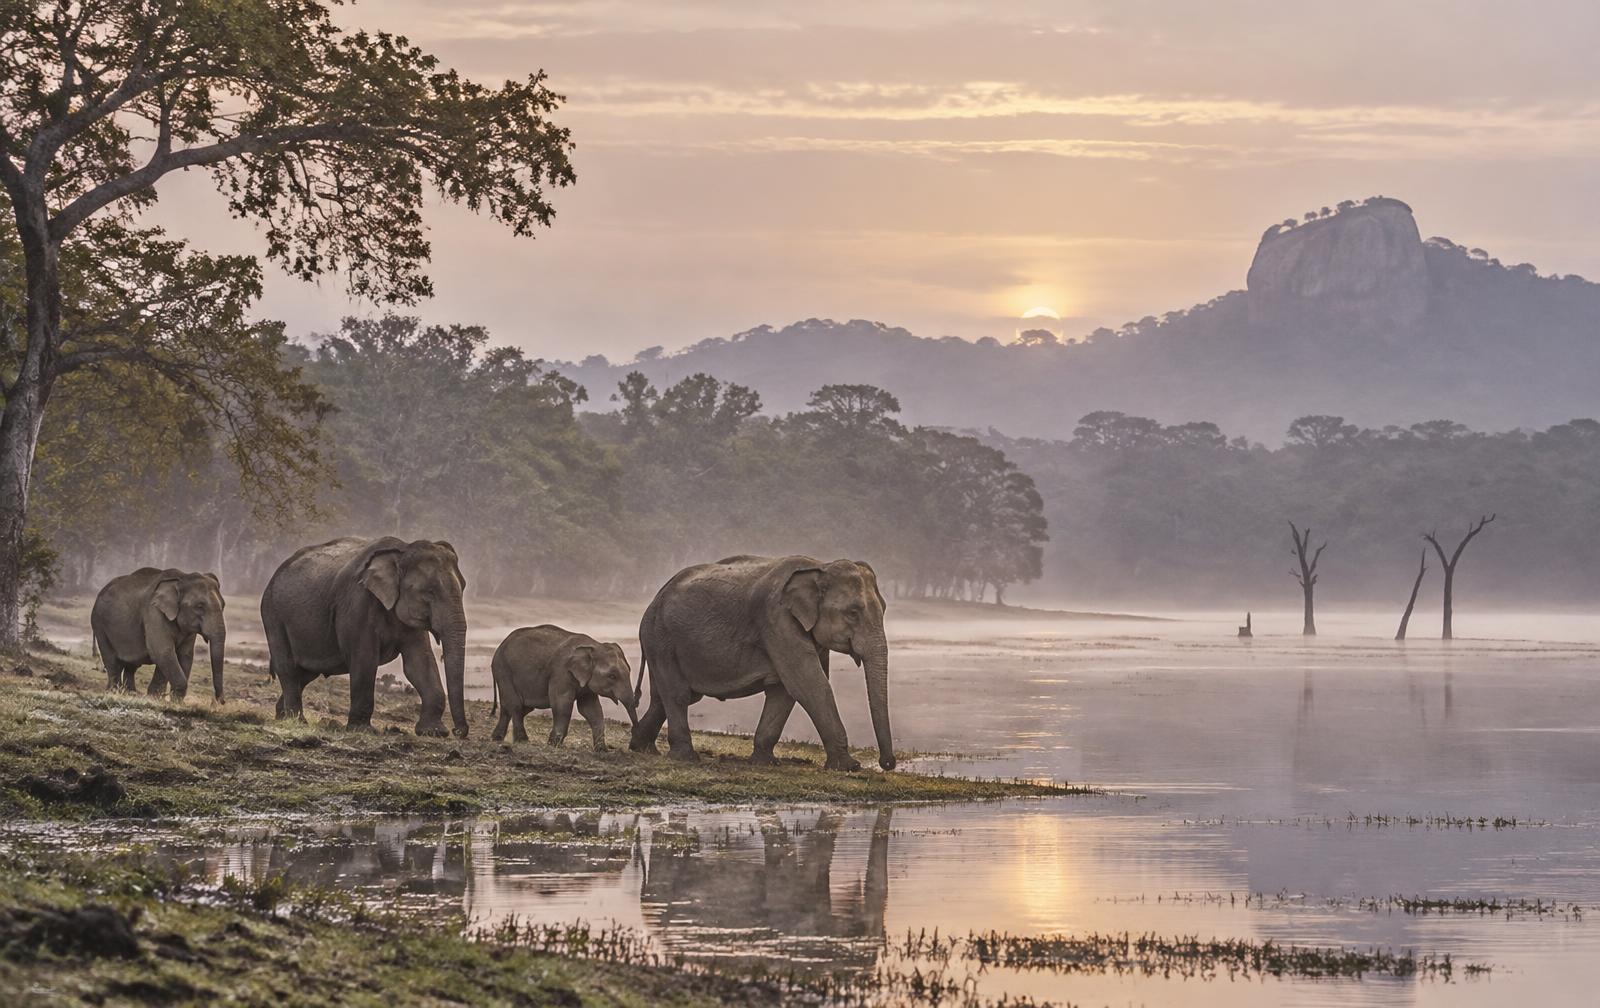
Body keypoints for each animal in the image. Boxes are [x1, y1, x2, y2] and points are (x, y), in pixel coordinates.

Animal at [90, 568, 227, 701]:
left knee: (132, 664)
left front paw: (165, 699)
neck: (182, 578)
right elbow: (162, 652)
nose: (220, 701)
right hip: (99, 623)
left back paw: (130, 693)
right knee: (112, 660)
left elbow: (184, 655)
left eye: (223, 605)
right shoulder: (154, 613)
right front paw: (164, 699)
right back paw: (114, 692)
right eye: (199, 606)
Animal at [260, 537, 469, 736]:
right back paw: (296, 721)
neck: (402, 551)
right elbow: (365, 659)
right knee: (288, 667)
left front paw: (434, 732)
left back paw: (283, 716)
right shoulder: (357, 603)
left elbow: (419, 663)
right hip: (272, 615)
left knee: (306, 673)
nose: (458, 732)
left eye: (464, 587)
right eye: (430, 592)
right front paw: (362, 730)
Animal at [489, 625, 638, 749]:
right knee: (516, 705)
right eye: (612, 676)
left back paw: (496, 738)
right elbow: (562, 704)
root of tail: (500, 646)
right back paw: (522, 740)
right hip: (503, 670)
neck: (594, 646)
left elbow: (591, 709)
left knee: (514, 707)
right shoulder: (561, 672)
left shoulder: (585, 682)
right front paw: (553, 744)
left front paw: (601, 749)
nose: (632, 743)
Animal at [630, 555, 894, 772]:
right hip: (660, 637)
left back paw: (640, 747)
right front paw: (850, 767)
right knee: (678, 695)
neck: (820, 566)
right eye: (853, 613)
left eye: (884, 609)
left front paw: (765, 762)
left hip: (661, 642)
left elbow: (785, 691)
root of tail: (655, 599)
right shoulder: (777, 620)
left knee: (662, 698)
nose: (887, 763)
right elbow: (810, 685)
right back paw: (685, 757)